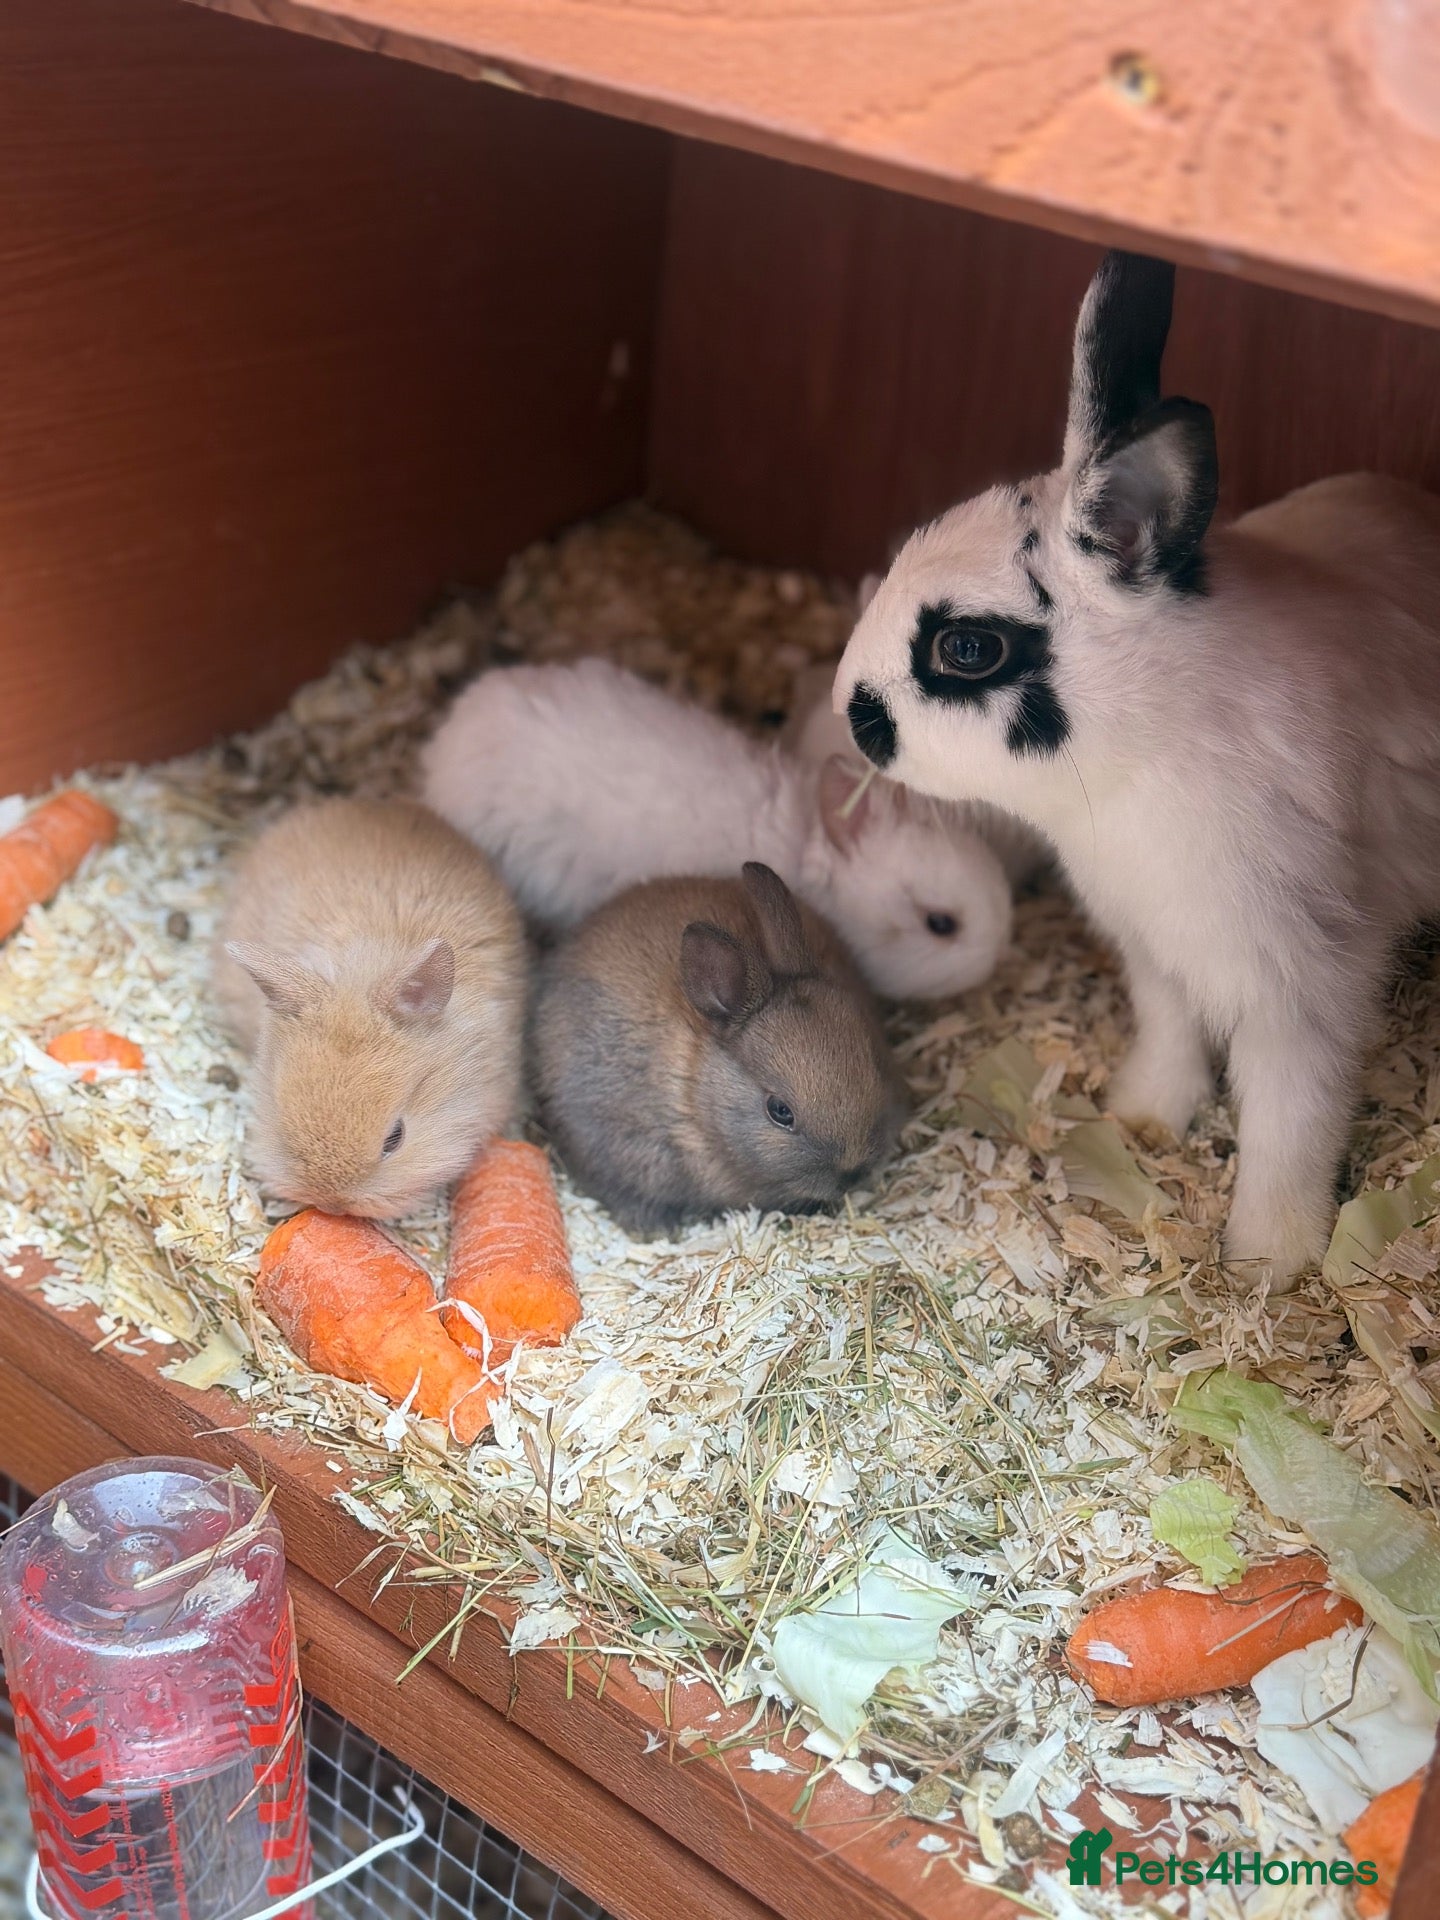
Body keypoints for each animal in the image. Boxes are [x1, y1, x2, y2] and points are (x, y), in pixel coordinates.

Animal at [833, 247, 1440, 1287]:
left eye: (966, 649)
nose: (852, 716)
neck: (1149, 750)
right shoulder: (1154, 951)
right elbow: (1169, 1034)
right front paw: (1141, 1119)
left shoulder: (1304, 987)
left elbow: (1291, 1121)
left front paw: (1267, 1261)